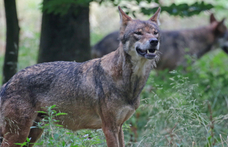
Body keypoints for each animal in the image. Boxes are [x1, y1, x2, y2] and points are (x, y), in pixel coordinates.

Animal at [0, 6, 161, 146]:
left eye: (155, 33)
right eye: (138, 33)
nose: (154, 41)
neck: (129, 83)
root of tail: (8, 82)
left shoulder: (120, 126)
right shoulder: (109, 128)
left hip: (32, 134)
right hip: (18, 134)